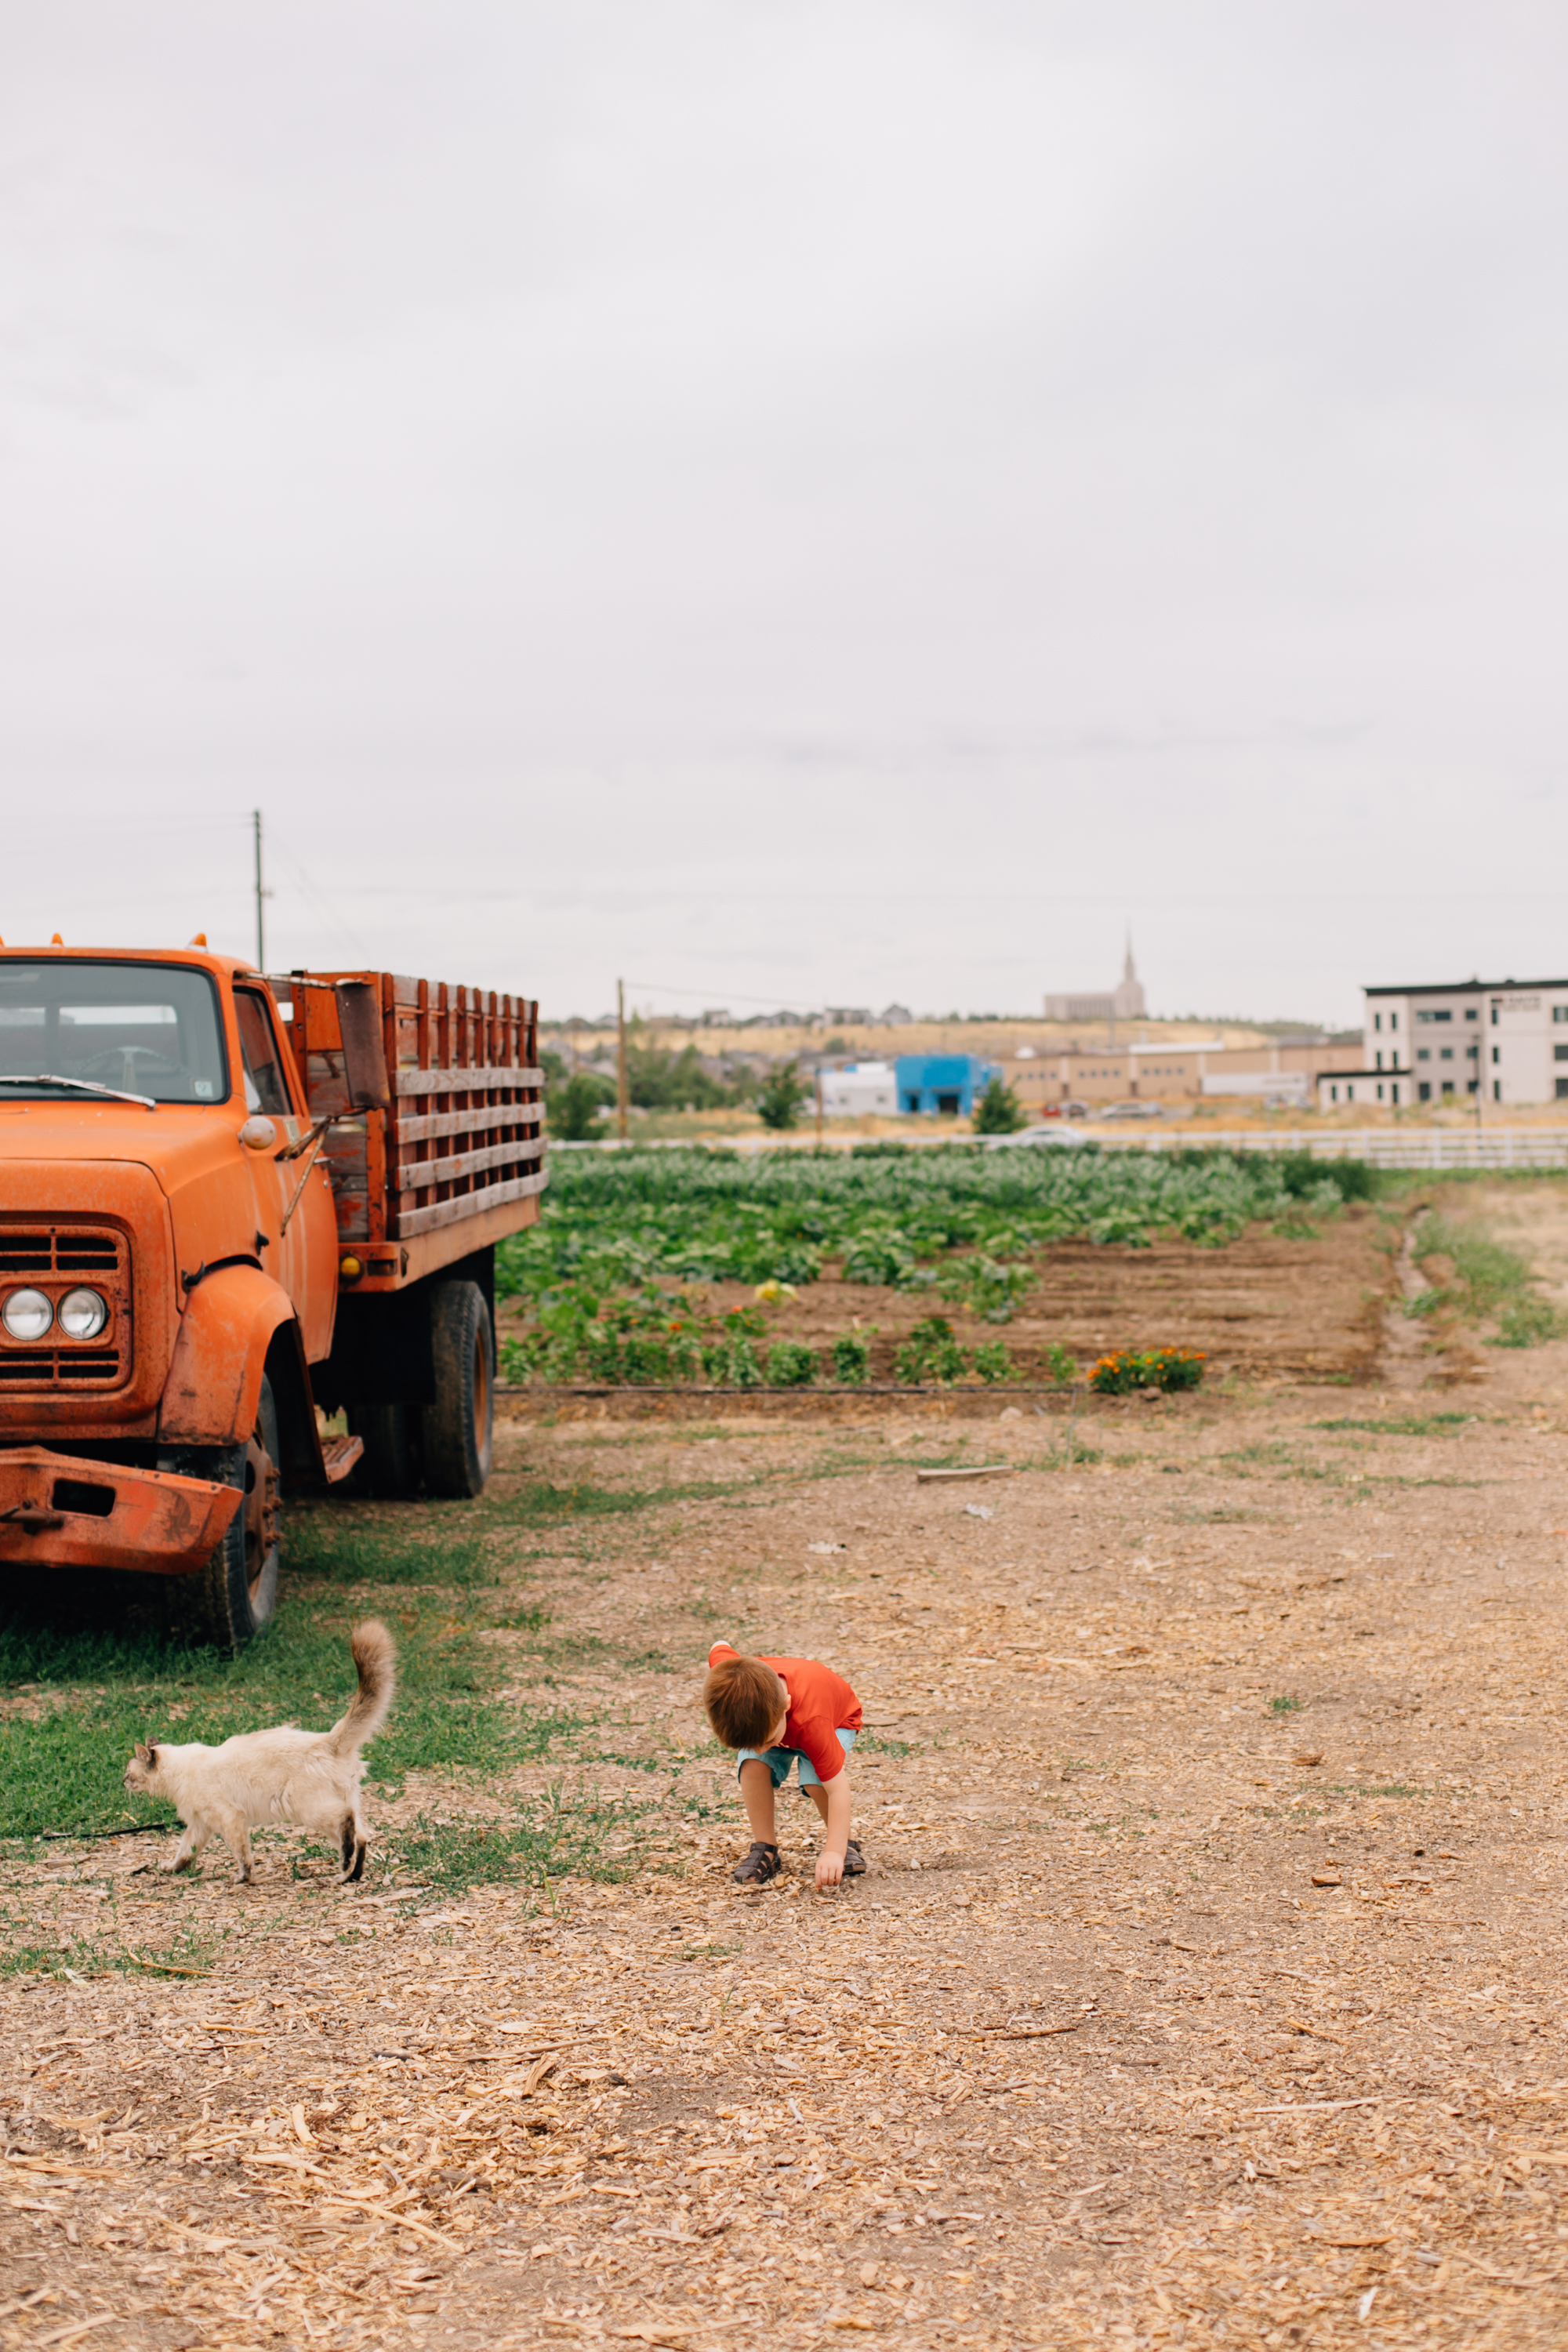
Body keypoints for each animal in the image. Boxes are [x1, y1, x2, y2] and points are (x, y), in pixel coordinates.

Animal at [125, 1618, 394, 1891]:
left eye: (127, 1773)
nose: (123, 1782)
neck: (178, 1772)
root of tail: (327, 1740)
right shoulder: (200, 1825)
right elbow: (185, 1853)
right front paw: (172, 1869)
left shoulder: (229, 1818)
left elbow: (241, 1855)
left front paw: (244, 1879)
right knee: (361, 1838)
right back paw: (349, 1876)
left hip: (305, 1808)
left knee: (346, 1820)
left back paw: (343, 1870)